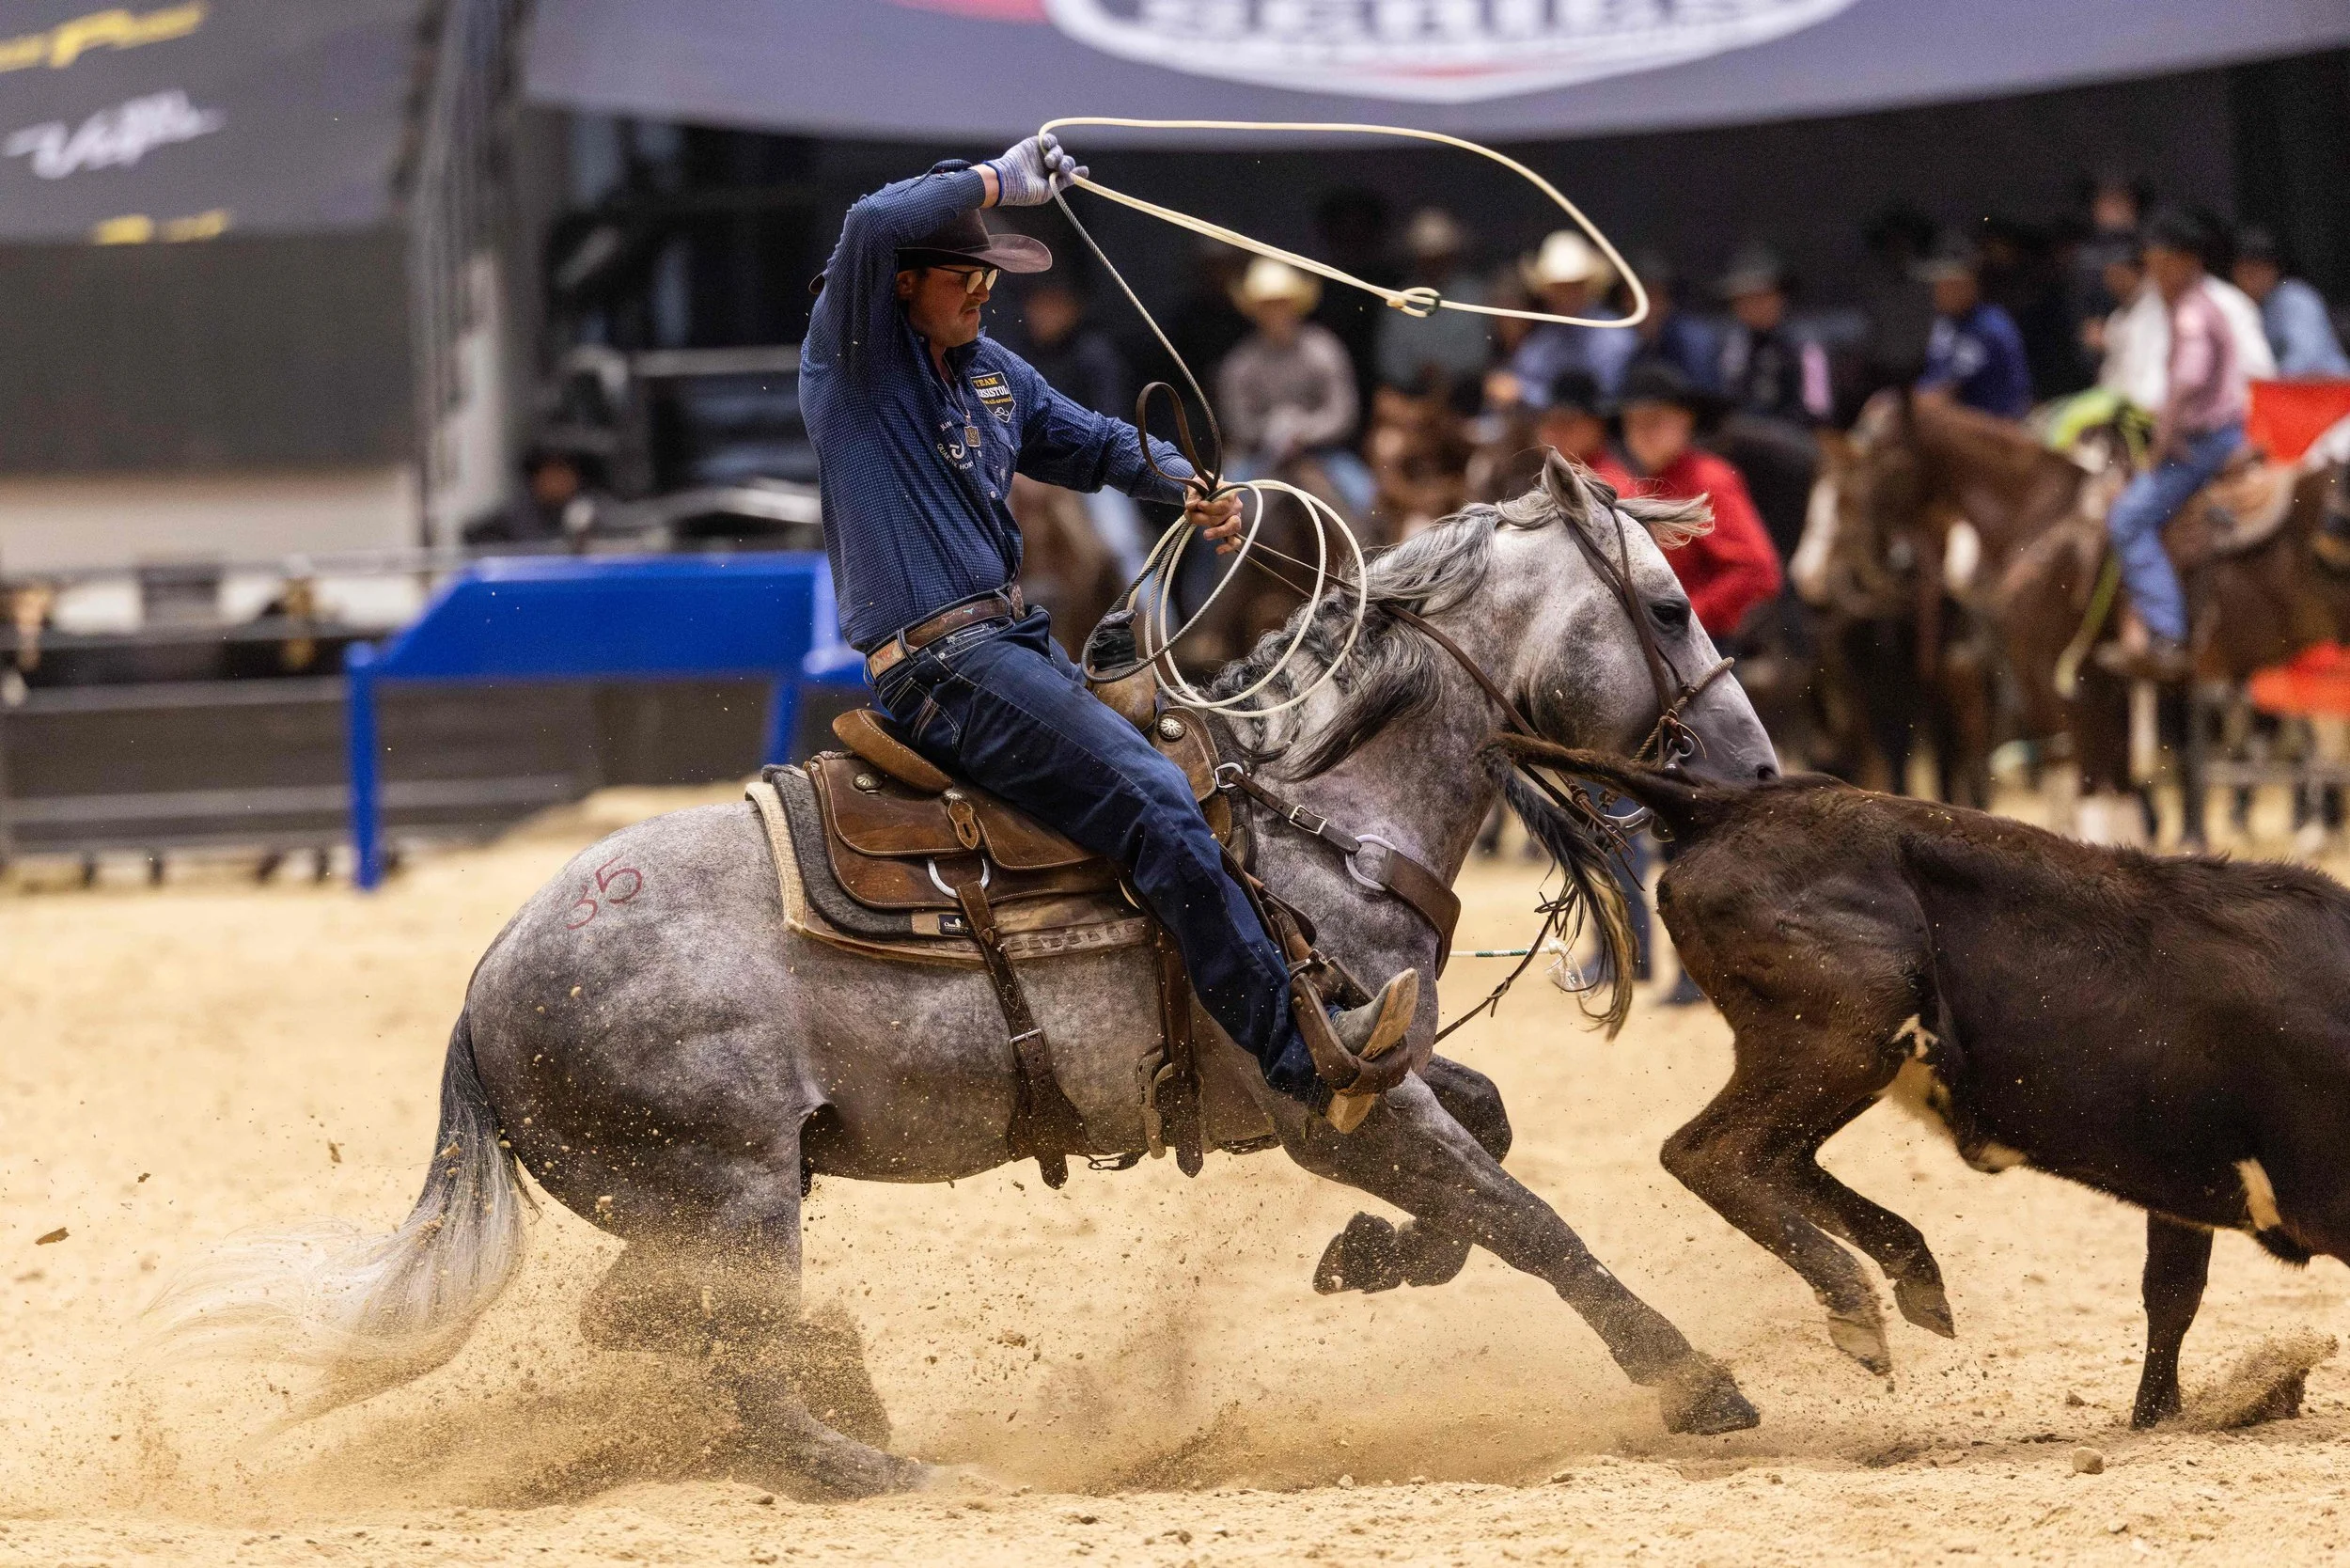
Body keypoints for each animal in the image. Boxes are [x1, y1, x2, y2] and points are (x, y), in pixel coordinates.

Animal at [150, 456, 1780, 1497]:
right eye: (1671, 606)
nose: (1760, 770)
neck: (1324, 817)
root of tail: (487, 988)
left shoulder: (1377, 1078)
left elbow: (1495, 1142)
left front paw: (1374, 1261)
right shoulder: (1335, 1109)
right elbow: (1535, 1220)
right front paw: (1694, 1380)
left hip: (697, 1204)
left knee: (658, 1333)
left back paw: (850, 1394)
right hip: (729, 1194)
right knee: (727, 1361)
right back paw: (884, 1463)